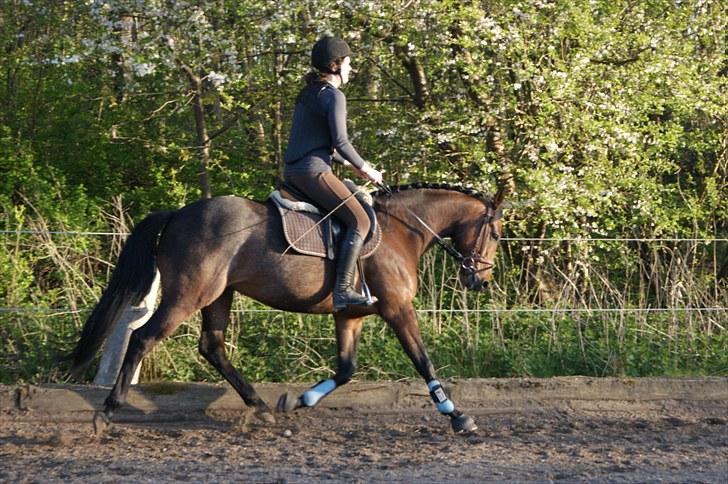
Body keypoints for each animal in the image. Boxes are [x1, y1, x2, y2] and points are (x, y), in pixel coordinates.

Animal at [72, 183, 506, 432]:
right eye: (496, 234)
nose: (480, 281)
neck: (402, 230)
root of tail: (178, 213)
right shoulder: (398, 309)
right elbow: (422, 360)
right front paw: (456, 415)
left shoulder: (349, 315)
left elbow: (345, 370)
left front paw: (297, 401)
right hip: (189, 294)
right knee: (143, 339)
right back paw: (108, 411)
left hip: (218, 296)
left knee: (212, 347)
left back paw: (261, 407)